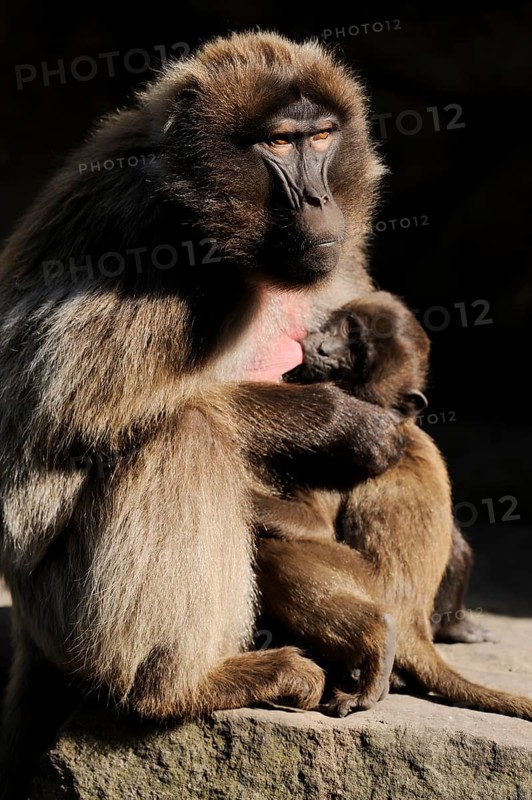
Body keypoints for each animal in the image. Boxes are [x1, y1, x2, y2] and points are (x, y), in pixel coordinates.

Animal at [0, 32, 412, 798]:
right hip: (59, 613)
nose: (317, 197)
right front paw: (339, 422)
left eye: (320, 137)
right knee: (186, 433)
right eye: (279, 143)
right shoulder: (150, 243)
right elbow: (56, 424)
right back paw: (180, 688)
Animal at [255, 291, 532, 720]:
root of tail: (414, 617)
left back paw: (377, 640)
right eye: (345, 327)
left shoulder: (344, 452)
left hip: (371, 584)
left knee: (275, 552)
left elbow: (313, 523)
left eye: (355, 356)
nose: (321, 347)